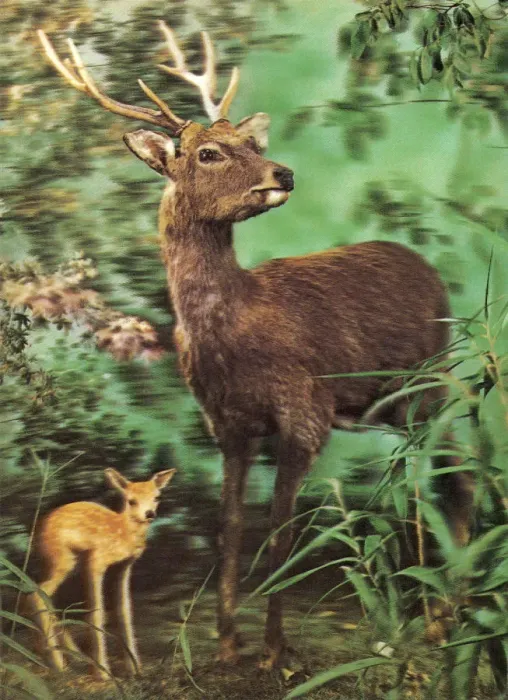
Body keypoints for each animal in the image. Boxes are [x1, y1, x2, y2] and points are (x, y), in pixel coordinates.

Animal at [28, 468, 175, 678]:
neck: (123, 533)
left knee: (40, 595)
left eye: (157, 497)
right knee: (35, 594)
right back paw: (59, 665)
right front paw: (103, 674)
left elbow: (124, 611)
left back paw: (67, 658)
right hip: (64, 559)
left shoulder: (123, 567)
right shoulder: (96, 560)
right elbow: (96, 612)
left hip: (64, 563)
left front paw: (135, 669)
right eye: (131, 501)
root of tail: (36, 535)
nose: (149, 514)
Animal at [38, 24, 475, 670]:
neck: (233, 329)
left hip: (428, 381)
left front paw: (274, 651)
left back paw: (446, 616)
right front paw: (227, 644)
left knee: (456, 470)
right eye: (208, 153)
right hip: (395, 403)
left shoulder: (304, 410)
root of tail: (432, 272)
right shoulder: (228, 424)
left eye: (245, 141)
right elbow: (231, 528)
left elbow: (281, 535)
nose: (283, 174)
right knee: (434, 477)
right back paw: (441, 607)